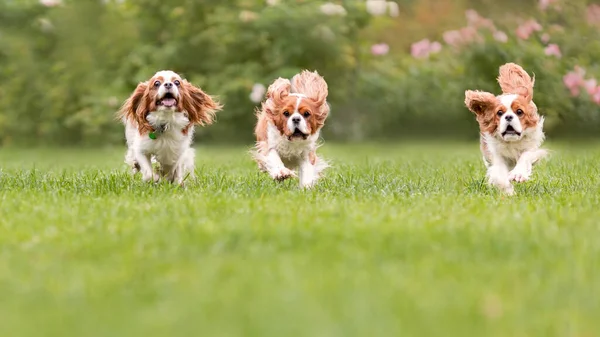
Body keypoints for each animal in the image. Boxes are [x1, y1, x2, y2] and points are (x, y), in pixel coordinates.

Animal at [464, 63, 548, 194]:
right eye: (499, 113)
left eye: (519, 112)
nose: (508, 116)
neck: (512, 142)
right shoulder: (496, 155)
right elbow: (499, 174)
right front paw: (508, 191)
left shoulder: (531, 148)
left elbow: (525, 156)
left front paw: (518, 174)